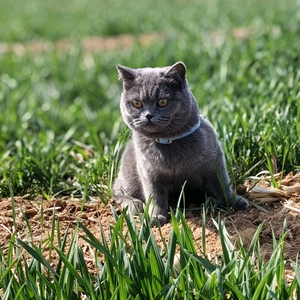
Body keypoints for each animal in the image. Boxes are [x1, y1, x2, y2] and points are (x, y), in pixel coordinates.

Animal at [112, 61, 248, 225]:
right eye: (137, 103)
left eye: (162, 101)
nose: (148, 115)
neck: (168, 141)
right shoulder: (148, 173)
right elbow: (154, 196)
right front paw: (155, 217)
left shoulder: (215, 163)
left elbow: (222, 185)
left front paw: (234, 202)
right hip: (129, 176)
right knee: (117, 190)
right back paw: (134, 205)